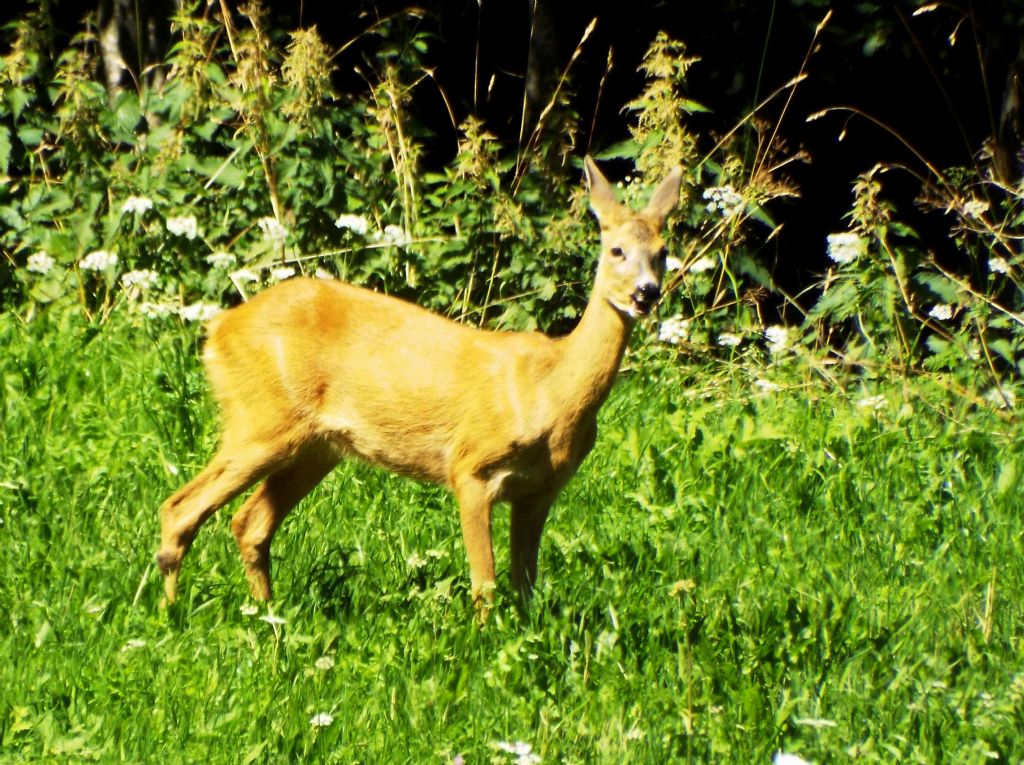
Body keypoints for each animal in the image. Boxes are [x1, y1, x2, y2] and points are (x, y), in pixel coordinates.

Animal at [157, 156, 679, 614]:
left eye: (662, 254)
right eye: (616, 250)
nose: (645, 294)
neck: (551, 392)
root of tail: (217, 331)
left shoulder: (540, 491)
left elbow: (525, 584)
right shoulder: (472, 467)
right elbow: (485, 584)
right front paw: (484, 643)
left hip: (316, 446)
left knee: (249, 523)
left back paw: (267, 615)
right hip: (261, 420)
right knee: (180, 507)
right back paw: (172, 614)